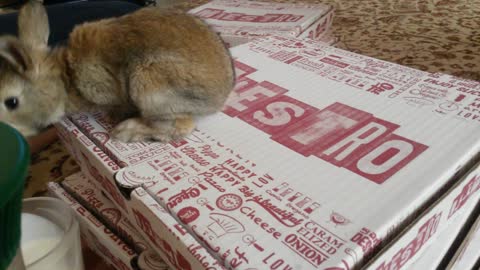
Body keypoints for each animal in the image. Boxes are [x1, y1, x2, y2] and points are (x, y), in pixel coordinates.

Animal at [0, 0, 234, 142]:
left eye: (11, 102)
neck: (65, 78)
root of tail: (223, 95)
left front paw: (115, 116)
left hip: (151, 88)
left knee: (180, 126)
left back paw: (125, 131)